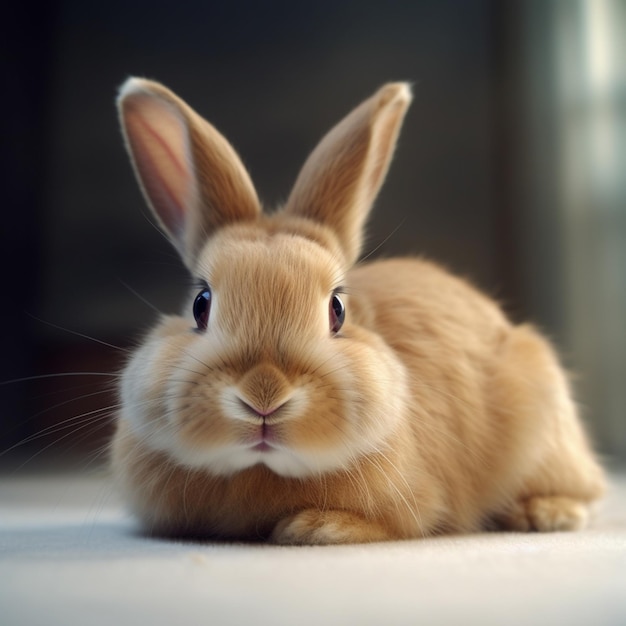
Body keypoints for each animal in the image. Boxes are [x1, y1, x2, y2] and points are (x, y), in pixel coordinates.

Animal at [109, 75, 604, 540]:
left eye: (337, 310)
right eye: (200, 304)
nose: (264, 396)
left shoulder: (415, 503)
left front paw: (316, 527)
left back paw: (546, 513)